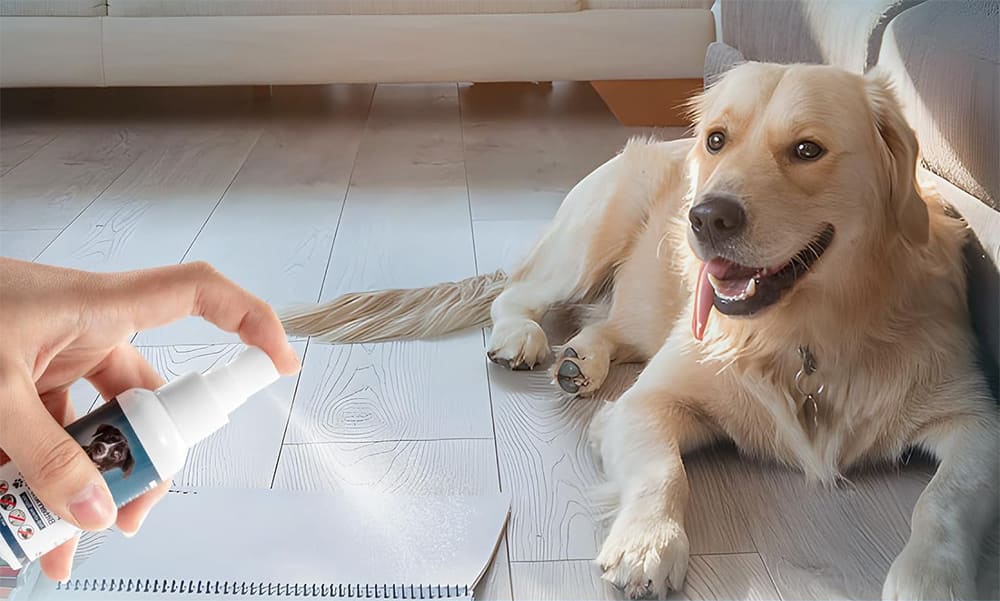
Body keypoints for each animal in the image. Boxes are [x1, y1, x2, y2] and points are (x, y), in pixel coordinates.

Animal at [286, 63, 996, 596]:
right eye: (717, 139)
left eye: (807, 150)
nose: (705, 217)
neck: (801, 332)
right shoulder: (645, 405)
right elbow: (664, 470)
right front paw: (647, 544)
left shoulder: (978, 421)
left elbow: (940, 501)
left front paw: (928, 579)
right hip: (591, 238)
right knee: (519, 296)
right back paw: (526, 340)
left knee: (609, 328)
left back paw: (580, 360)